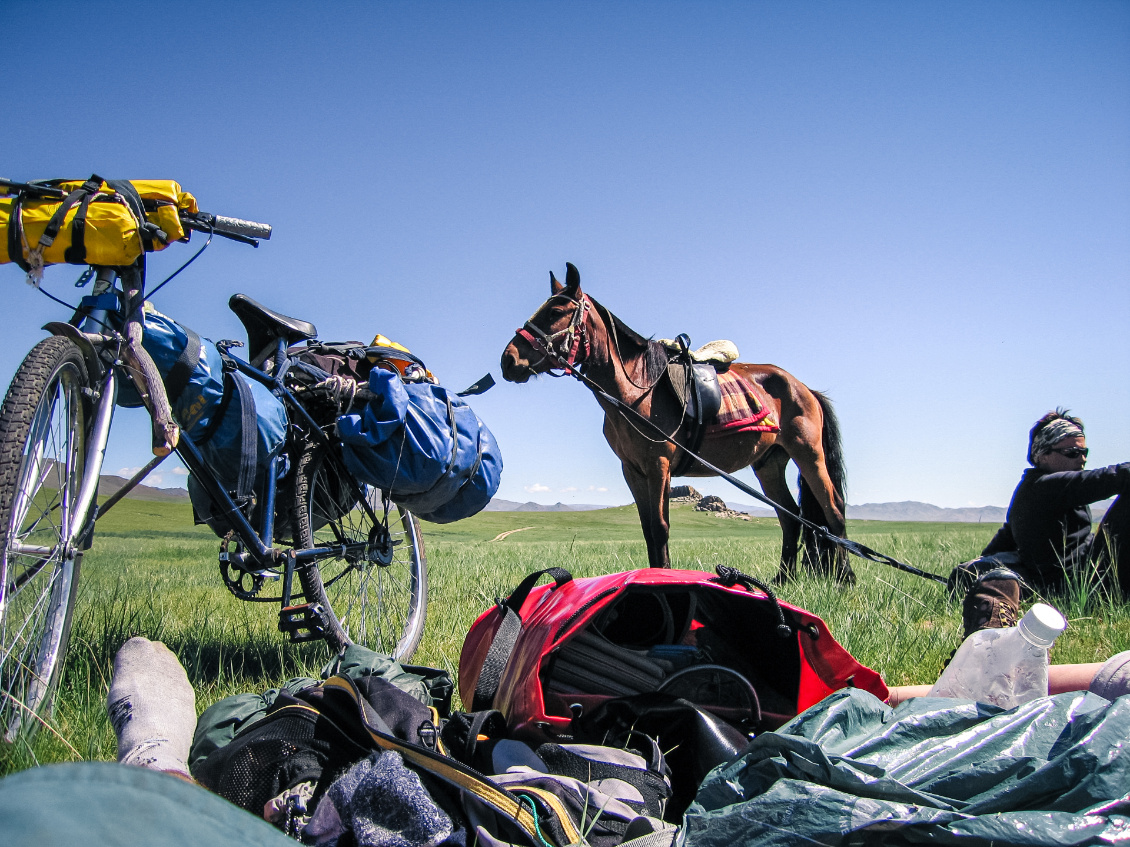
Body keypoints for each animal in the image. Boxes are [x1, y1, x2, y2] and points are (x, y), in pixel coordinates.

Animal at [499, 265, 849, 582]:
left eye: (556, 311)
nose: (508, 360)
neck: (637, 389)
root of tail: (806, 389)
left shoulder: (659, 465)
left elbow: (660, 527)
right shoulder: (633, 470)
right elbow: (648, 529)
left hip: (809, 455)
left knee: (833, 510)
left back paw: (843, 578)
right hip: (769, 463)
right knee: (791, 517)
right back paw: (782, 579)